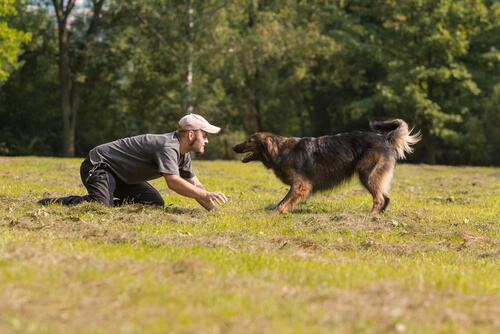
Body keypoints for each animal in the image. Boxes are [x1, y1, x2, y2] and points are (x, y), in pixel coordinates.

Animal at [232, 120, 420, 214]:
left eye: (250, 140)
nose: (234, 147)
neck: (280, 150)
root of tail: (385, 139)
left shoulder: (301, 185)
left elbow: (283, 202)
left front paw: (275, 214)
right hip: (375, 177)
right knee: (386, 196)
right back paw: (380, 215)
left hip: (368, 174)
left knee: (379, 198)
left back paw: (370, 215)